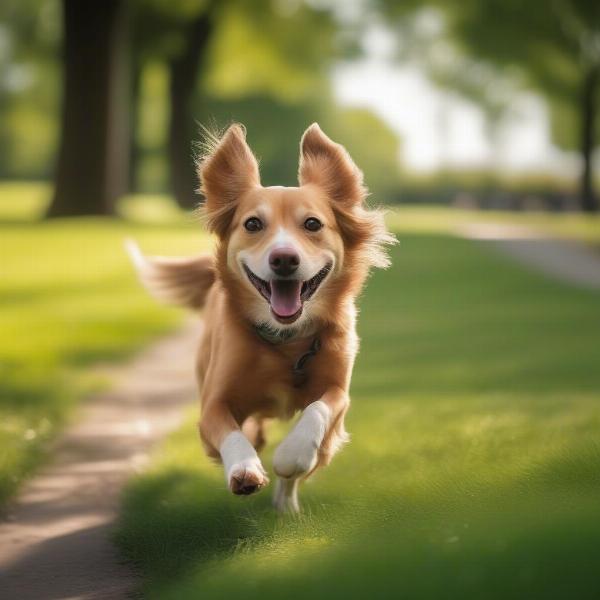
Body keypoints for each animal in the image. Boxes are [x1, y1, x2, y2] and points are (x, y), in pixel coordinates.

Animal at [127, 124, 394, 512]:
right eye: (253, 223)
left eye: (312, 223)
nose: (283, 259)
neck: (287, 341)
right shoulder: (213, 403)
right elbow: (230, 432)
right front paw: (244, 469)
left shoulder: (338, 392)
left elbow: (318, 413)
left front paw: (292, 455)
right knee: (253, 431)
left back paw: (286, 503)